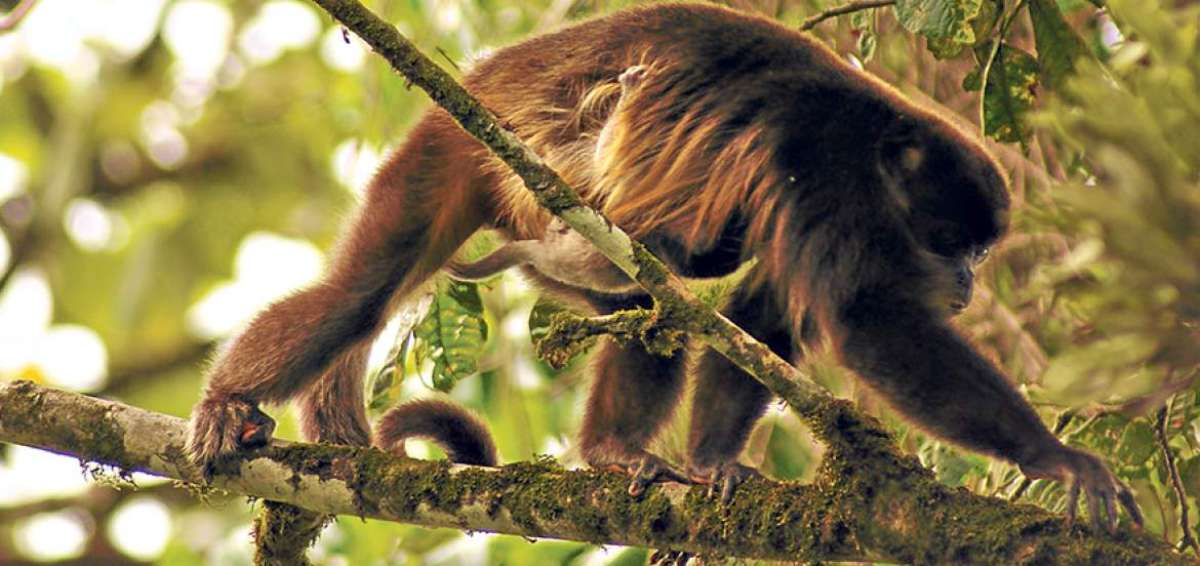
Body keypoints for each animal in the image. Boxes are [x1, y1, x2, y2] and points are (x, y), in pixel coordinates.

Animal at [186, 3, 1142, 530]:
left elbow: (761, 313)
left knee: (658, 304)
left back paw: (612, 449)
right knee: (358, 297)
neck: (880, 146)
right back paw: (230, 400)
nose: (971, 285)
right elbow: (867, 323)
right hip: (451, 148)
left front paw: (716, 462)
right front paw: (1058, 459)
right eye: (959, 246)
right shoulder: (825, 167)